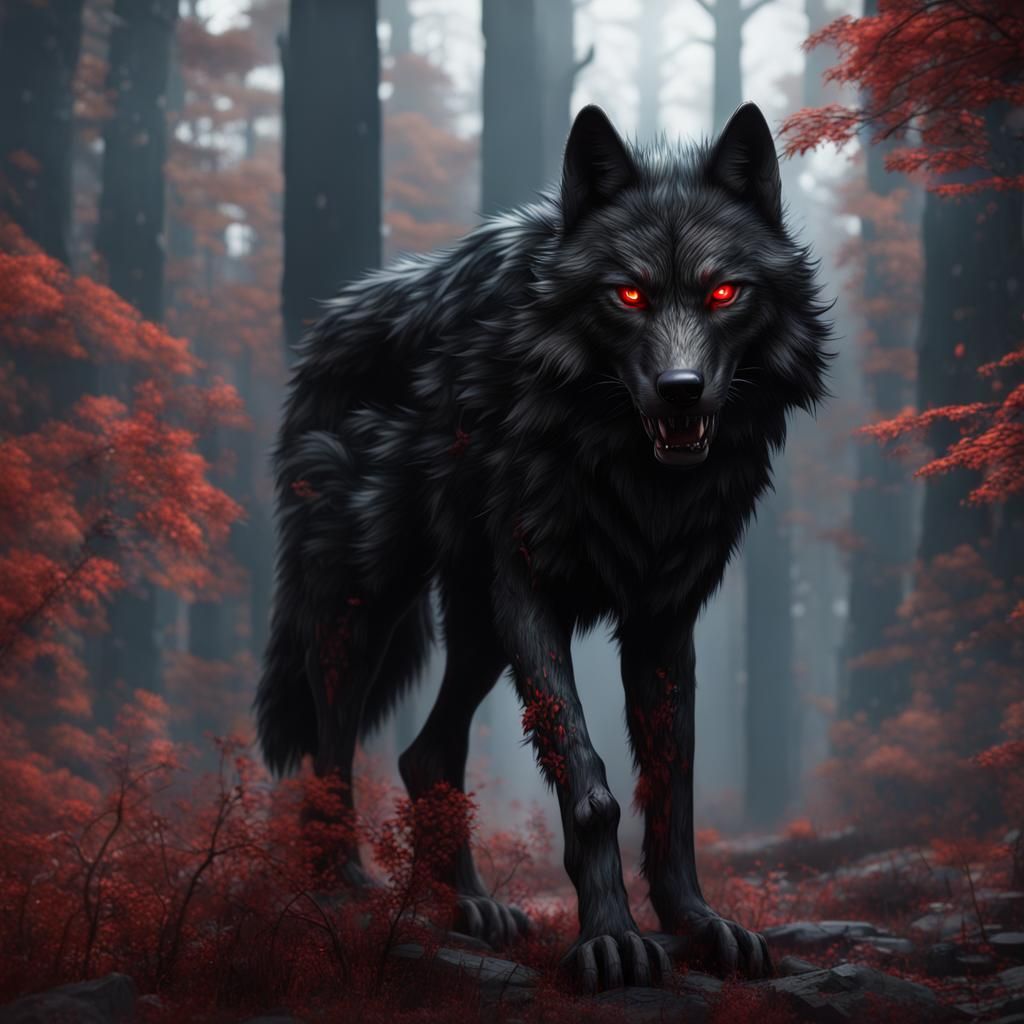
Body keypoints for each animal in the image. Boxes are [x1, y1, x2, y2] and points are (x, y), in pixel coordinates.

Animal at [256, 102, 831, 991]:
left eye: (723, 292)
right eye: (627, 294)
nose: (681, 392)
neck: (627, 467)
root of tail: (339, 314)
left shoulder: (664, 617)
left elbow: (672, 790)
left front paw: (697, 924)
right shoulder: (531, 591)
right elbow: (589, 782)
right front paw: (611, 939)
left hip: (476, 623)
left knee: (426, 754)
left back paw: (465, 908)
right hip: (367, 596)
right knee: (333, 740)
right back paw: (343, 885)